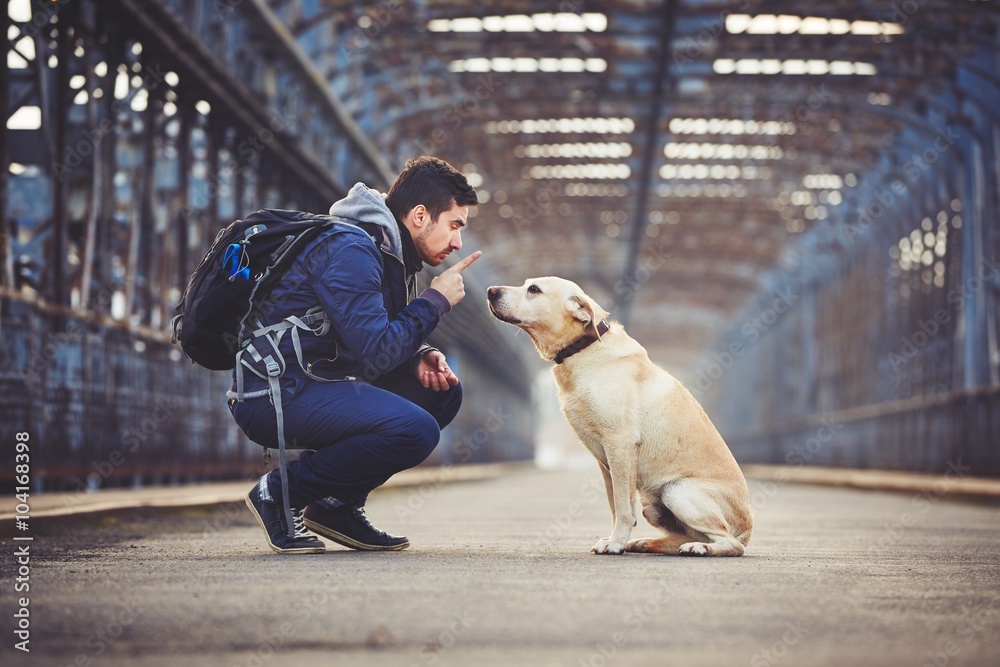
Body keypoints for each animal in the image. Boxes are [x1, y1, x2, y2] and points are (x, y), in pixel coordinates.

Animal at [488, 278, 752, 560]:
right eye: (526, 284)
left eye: (534, 290)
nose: (491, 291)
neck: (584, 349)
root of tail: (748, 528)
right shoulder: (605, 460)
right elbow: (615, 504)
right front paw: (618, 540)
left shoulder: (620, 444)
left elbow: (623, 508)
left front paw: (615, 544)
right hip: (654, 505)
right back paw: (648, 542)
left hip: (677, 491)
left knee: (730, 543)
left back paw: (699, 548)